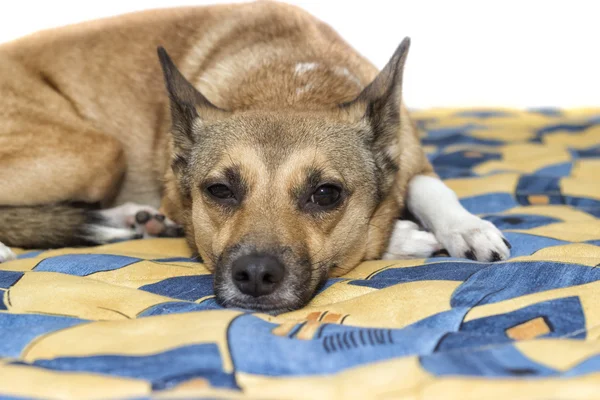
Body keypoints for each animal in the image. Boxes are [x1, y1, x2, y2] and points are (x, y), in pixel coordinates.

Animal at [0, 1, 508, 310]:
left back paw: (129, 219)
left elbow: (430, 187)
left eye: (326, 194)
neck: (290, 85)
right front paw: (403, 236)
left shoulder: (411, 156)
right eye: (219, 190)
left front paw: (468, 229)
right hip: (95, 153)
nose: (257, 276)